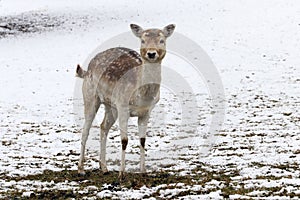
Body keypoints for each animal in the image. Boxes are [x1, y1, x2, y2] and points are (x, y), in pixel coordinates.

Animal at [76, 23, 176, 178]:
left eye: (162, 40)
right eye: (142, 40)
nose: (151, 53)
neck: (142, 97)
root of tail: (87, 69)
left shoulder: (146, 111)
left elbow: (143, 140)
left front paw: (144, 171)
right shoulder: (123, 106)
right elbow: (124, 140)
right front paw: (121, 173)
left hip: (111, 106)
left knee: (103, 126)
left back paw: (104, 167)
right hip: (90, 95)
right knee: (85, 129)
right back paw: (81, 169)